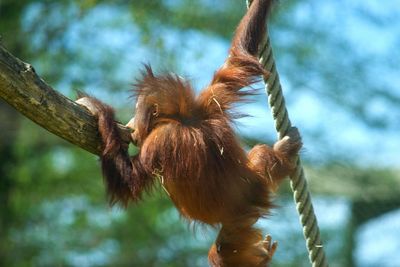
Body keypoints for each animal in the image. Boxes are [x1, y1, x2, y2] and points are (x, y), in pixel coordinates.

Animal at [77, 1, 300, 266]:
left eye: (136, 112)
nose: (131, 123)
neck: (181, 118)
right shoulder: (210, 101)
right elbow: (238, 62)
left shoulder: (158, 141)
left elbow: (127, 183)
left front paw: (99, 110)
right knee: (260, 154)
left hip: (238, 220)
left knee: (221, 250)